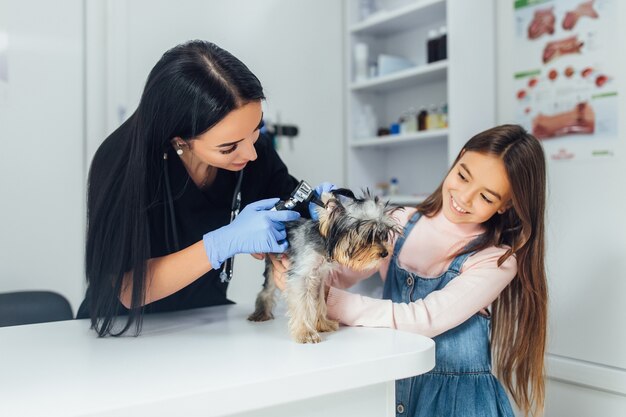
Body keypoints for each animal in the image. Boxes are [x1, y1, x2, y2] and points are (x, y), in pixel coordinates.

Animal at [245, 190, 400, 342]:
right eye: (368, 235)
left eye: (382, 234)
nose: (385, 253)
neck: (324, 245)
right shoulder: (301, 276)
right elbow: (303, 303)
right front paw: (306, 332)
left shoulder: (319, 276)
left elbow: (318, 300)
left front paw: (322, 323)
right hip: (272, 262)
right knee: (267, 288)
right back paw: (261, 313)